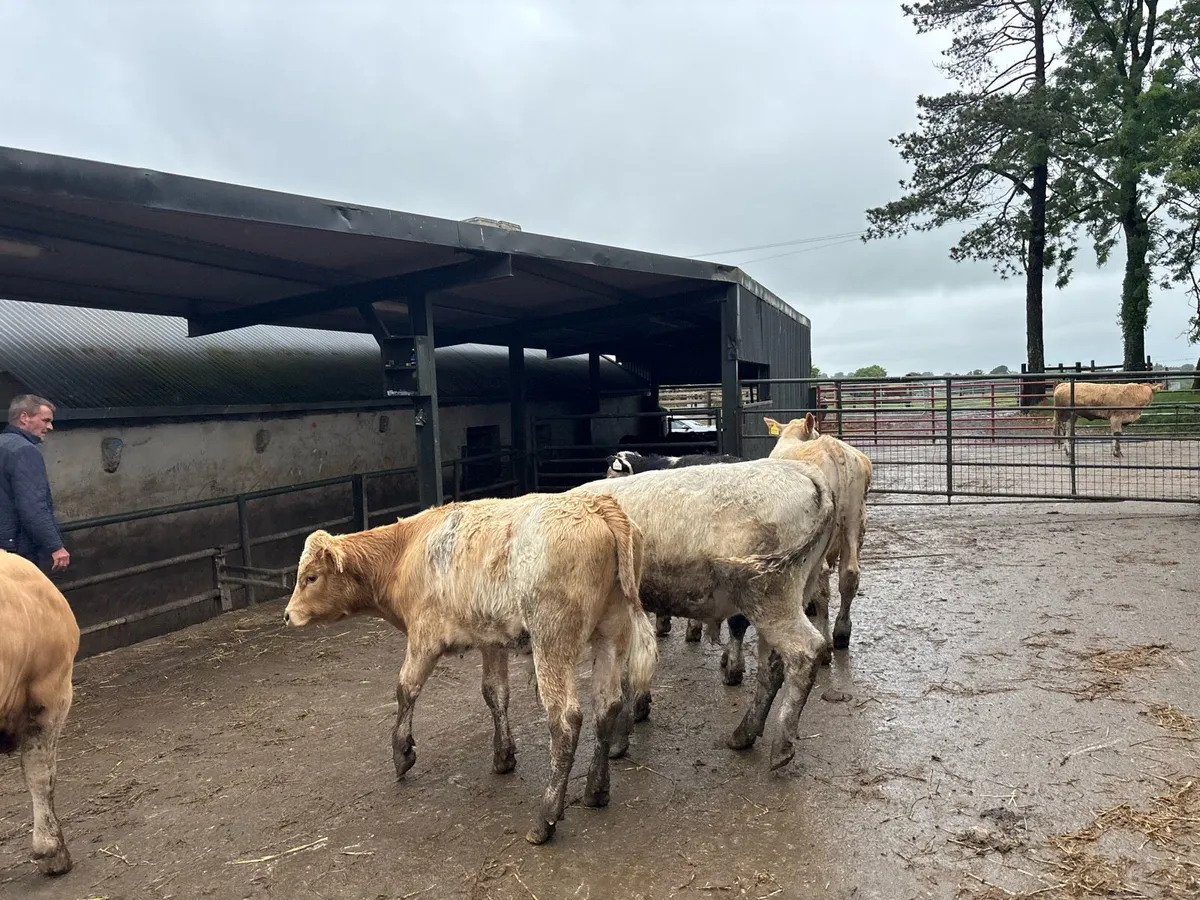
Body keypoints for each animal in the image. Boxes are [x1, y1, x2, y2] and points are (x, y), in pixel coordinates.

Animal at [282, 492, 658, 847]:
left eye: (311, 577)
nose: (287, 615)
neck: (405, 551)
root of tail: (596, 504)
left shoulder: (425, 637)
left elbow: (405, 689)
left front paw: (402, 752)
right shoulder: (492, 640)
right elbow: (495, 694)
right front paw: (503, 756)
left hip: (552, 640)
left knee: (565, 720)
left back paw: (545, 818)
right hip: (611, 634)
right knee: (607, 706)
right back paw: (596, 790)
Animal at [764, 414, 873, 652]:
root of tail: (833, 448)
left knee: (821, 577)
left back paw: (825, 641)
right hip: (855, 518)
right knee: (849, 574)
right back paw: (841, 633)